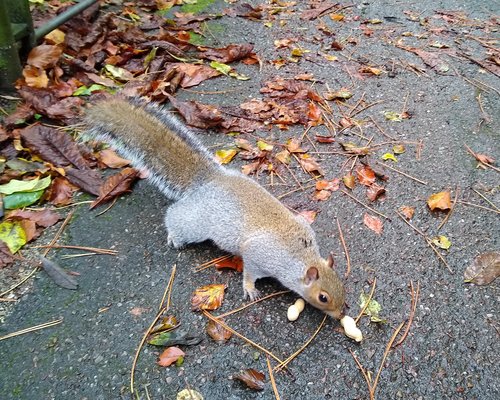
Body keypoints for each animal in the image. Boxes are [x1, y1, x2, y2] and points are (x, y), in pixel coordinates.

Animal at [84, 97, 346, 318]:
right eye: (323, 297)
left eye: (342, 285)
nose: (339, 315)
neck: (301, 257)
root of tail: (209, 180)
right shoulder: (259, 255)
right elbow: (249, 272)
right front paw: (249, 288)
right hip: (197, 224)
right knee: (175, 216)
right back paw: (174, 236)